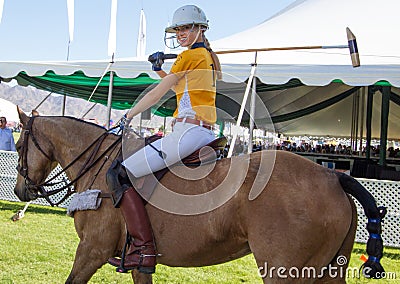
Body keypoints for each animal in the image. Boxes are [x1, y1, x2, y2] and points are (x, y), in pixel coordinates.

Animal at [14, 107, 386, 282]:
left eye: (18, 145)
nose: (20, 190)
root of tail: (332, 176)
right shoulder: (138, 262)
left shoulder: (92, 249)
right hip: (328, 272)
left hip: (284, 272)